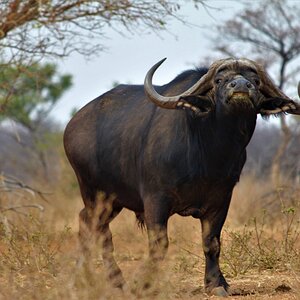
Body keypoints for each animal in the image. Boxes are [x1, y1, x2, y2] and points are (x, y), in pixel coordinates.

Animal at [63, 57, 300, 296]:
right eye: (219, 80)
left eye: (256, 81)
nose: (241, 86)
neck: (208, 155)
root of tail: (72, 125)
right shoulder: (155, 200)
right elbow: (159, 244)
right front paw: (143, 284)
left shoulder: (221, 200)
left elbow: (211, 242)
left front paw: (216, 283)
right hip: (95, 194)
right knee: (102, 233)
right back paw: (117, 282)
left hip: (113, 201)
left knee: (86, 222)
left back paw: (80, 278)